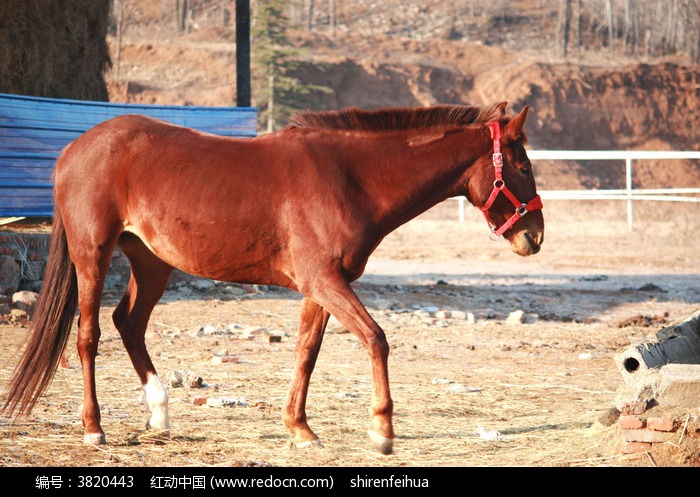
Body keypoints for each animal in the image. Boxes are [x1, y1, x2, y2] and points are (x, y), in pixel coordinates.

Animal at [0, 100, 544, 454]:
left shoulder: (321, 287)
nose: (534, 237)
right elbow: (376, 338)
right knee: (89, 335)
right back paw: (94, 427)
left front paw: (300, 429)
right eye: (521, 166)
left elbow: (307, 352)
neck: (349, 177)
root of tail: (73, 150)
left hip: (153, 262)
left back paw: (159, 411)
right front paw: (382, 430)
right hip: (92, 255)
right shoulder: (325, 281)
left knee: (128, 324)